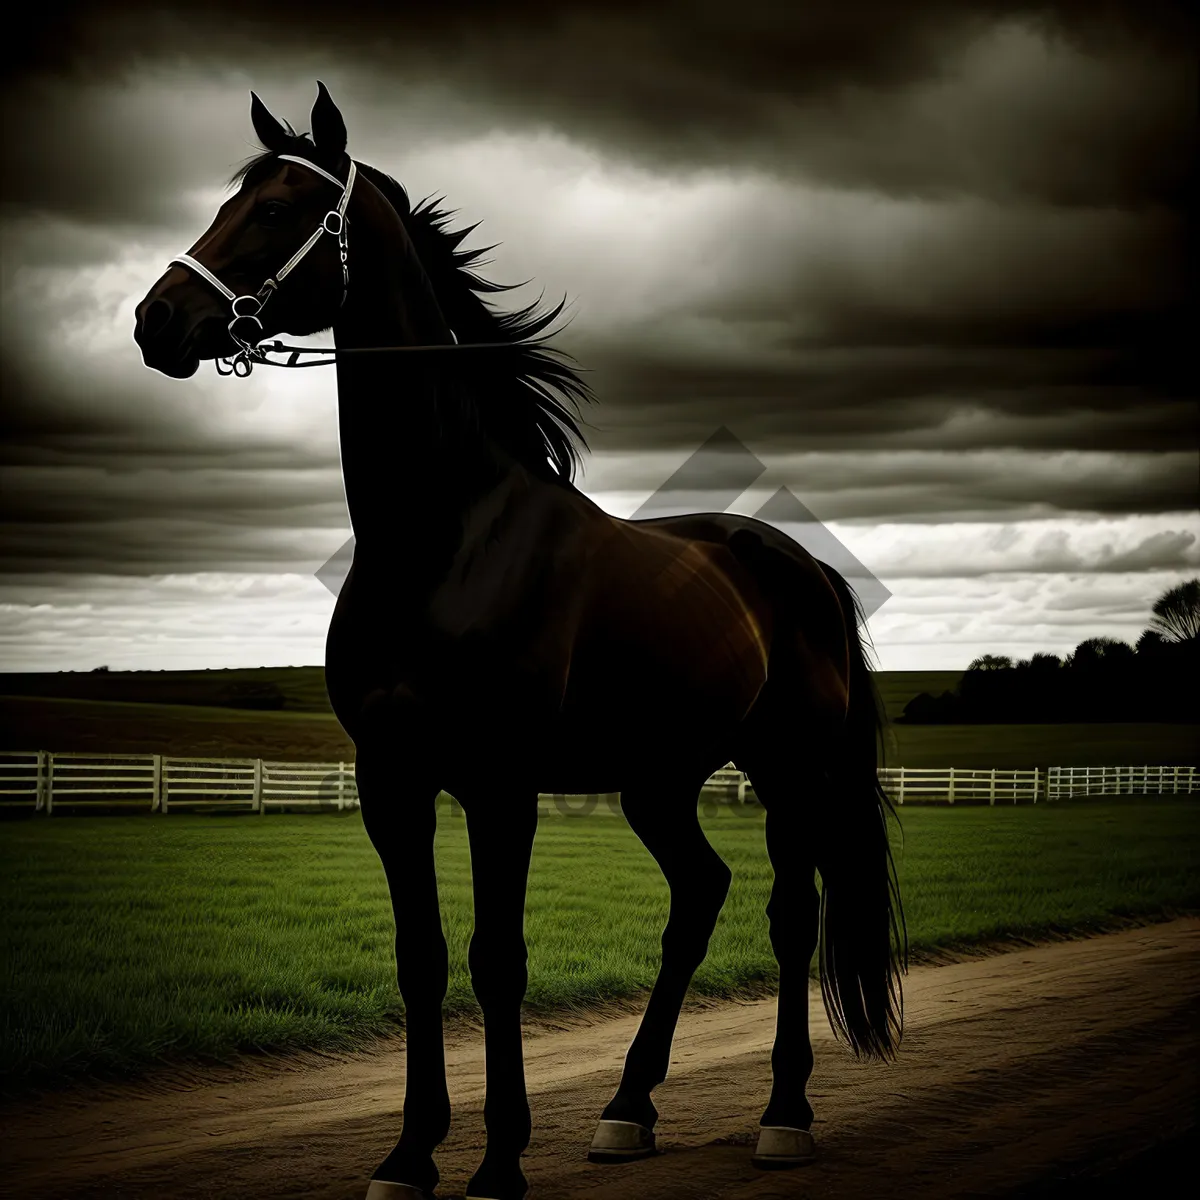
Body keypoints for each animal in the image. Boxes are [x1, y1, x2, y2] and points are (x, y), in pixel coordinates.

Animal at [133, 84, 902, 1200]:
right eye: (229, 202)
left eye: (276, 210)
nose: (155, 321)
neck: (445, 539)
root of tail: (795, 566)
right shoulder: (393, 781)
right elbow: (420, 956)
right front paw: (410, 1154)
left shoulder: (500, 784)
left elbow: (498, 958)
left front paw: (498, 1162)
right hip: (658, 781)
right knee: (698, 896)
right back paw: (628, 1109)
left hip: (789, 769)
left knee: (790, 914)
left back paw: (784, 1114)